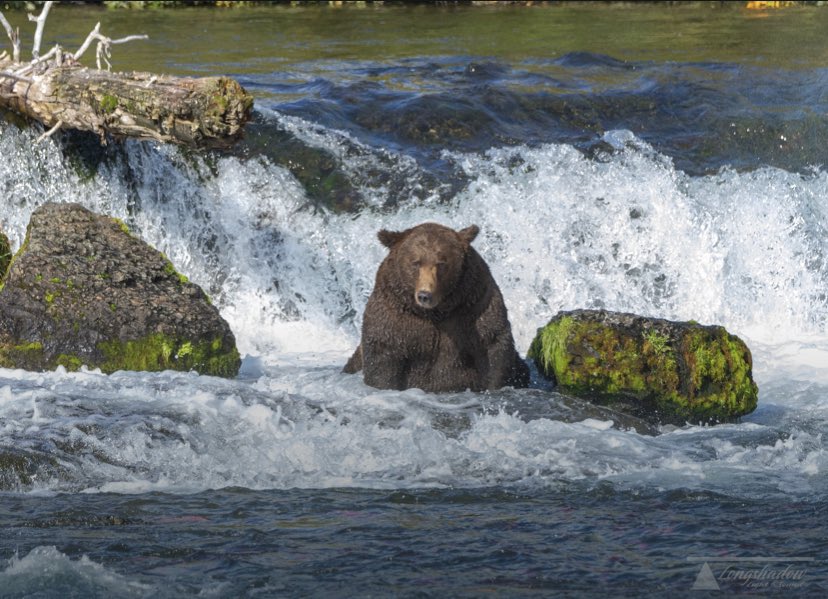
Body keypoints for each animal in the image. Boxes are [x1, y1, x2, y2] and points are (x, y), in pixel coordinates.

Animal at [342, 221, 532, 394]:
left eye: (441, 263)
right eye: (415, 262)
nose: (425, 295)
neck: (436, 313)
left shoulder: (473, 308)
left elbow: (492, 348)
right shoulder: (395, 317)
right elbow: (383, 357)